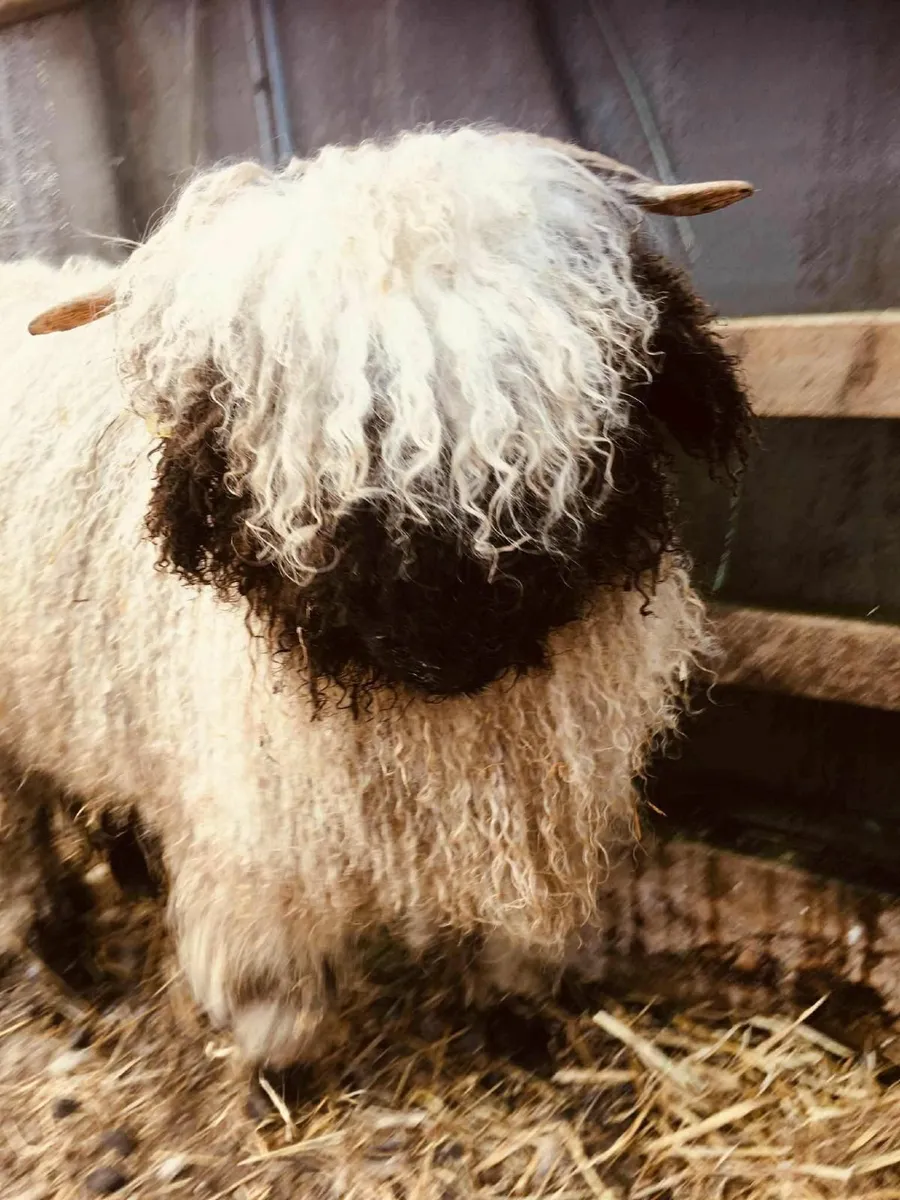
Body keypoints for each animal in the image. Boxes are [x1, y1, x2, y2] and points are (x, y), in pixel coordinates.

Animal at [0, 127, 752, 1067]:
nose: (444, 619)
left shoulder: (529, 797)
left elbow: (512, 936)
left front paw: (517, 1023)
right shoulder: (255, 816)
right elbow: (269, 972)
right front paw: (277, 1060)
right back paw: (58, 947)